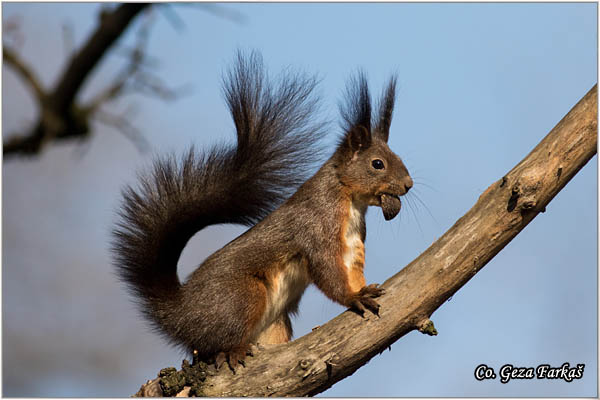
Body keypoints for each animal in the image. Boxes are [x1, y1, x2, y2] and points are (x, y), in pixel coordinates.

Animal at [112, 52, 412, 372]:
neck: (350, 200)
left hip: (274, 324)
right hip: (243, 296)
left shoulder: (354, 243)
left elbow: (352, 270)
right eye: (377, 164)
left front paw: (364, 290)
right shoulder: (316, 225)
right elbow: (326, 270)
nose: (409, 184)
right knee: (217, 342)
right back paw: (232, 351)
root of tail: (180, 315)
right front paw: (354, 297)